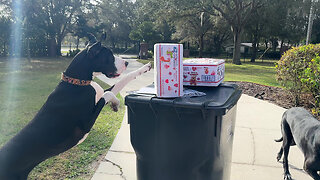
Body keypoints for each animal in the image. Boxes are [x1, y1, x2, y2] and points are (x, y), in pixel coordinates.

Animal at [0, 33, 152, 179]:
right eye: (109, 56)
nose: (126, 62)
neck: (77, 82)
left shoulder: (101, 92)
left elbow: (121, 82)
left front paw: (144, 69)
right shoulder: (86, 124)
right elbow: (106, 95)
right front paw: (115, 102)